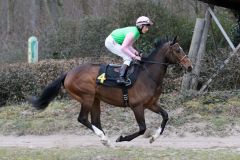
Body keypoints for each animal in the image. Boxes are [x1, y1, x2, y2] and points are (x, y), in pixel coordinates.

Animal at [28, 37, 193, 147]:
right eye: (178, 50)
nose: (190, 66)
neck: (148, 74)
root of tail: (68, 73)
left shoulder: (151, 103)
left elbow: (165, 116)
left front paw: (154, 137)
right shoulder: (137, 106)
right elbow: (142, 128)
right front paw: (121, 138)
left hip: (95, 99)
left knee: (95, 121)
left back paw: (105, 139)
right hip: (86, 97)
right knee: (82, 118)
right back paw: (104, 138)